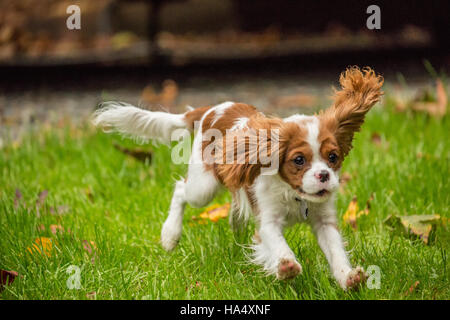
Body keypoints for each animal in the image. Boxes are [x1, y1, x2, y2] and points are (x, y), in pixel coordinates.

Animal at [92, 66, 384, 288]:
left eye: (333, 157)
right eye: (299, 160)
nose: (324, 175)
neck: (295, 196)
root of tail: (209, 109)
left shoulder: (324, 221)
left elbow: (335, 251)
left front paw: (348, 278)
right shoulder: (268, 221)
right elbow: (277, 244)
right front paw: (286, 266)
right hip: (204, 187)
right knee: (181, 190)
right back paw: (170, 234)